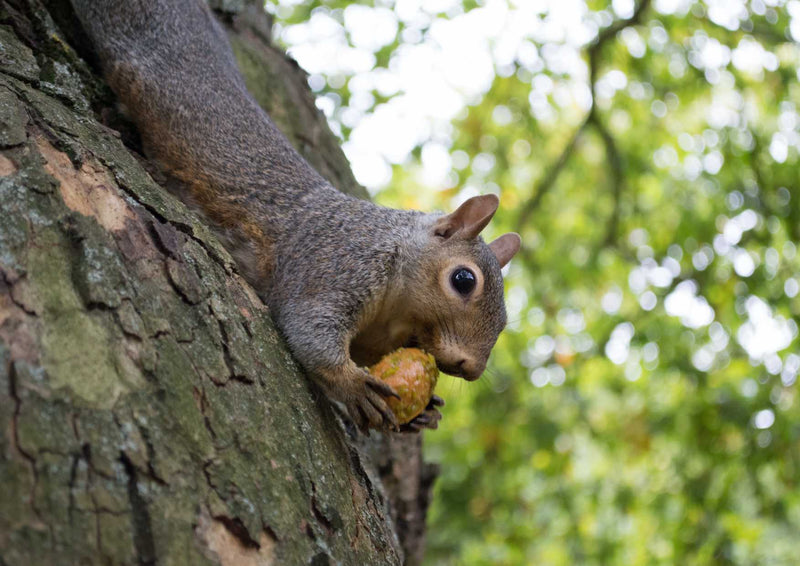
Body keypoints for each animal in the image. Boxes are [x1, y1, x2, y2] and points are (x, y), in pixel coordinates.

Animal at [67, 0, 520, 434]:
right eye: (463, 280)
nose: (472, 368)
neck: (396, 308)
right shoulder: (333, 264)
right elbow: (308, 329)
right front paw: (352, 386)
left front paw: (423, 415)